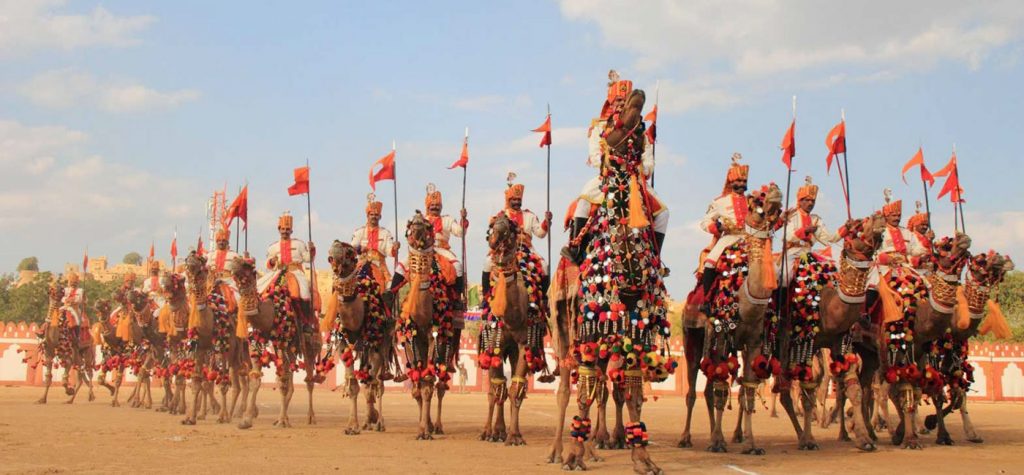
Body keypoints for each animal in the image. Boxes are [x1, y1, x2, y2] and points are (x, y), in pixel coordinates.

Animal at [232, 255, 323, 429]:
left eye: (248, 265)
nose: (234, 264)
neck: (273, 311)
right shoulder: (255, 341)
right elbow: (256, 379)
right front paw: (247, 419)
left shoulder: (282, 341)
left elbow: (282, 381)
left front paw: (282, 420)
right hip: (292, 347)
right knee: (291, 378)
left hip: (310, 345)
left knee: (308, 378)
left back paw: (310, 417)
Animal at [323, 241, 395, 434]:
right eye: (330, 254)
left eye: (350, 253)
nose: (335, 248)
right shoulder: (343, 345)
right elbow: (354, 385)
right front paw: (352, 426)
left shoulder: (375, 345)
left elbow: (371, 385)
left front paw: (374, 418)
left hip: (384, 344)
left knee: (378, 383)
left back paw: (378, 421)